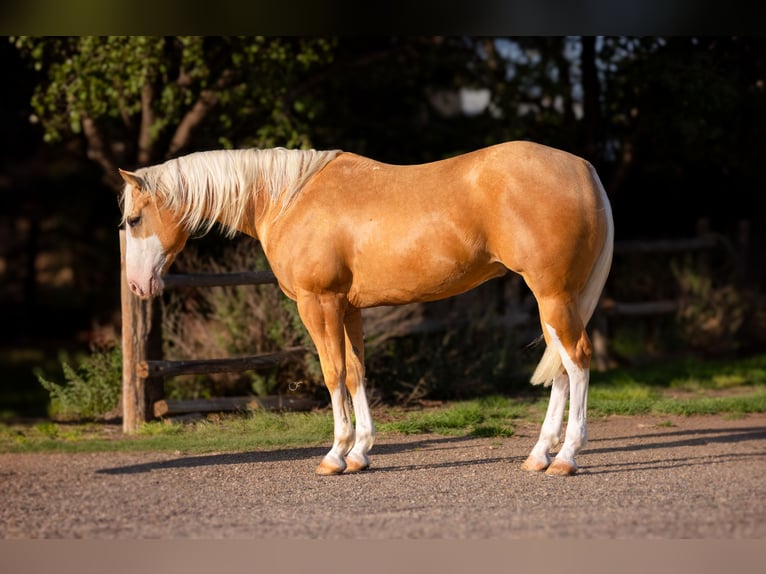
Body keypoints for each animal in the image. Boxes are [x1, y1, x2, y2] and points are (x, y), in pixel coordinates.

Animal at [119, 141, 614, 476]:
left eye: (134, 219)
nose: (138, 285)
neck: (287, 199)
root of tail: (584, 169)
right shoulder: (348, 308)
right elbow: (356, 372)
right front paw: (359, 453)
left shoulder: (318, 304)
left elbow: (332, 373)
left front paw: (334, 455)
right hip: (554, 300)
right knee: (562, 368)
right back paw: (539, 455)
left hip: (552, 295)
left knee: (577, 361)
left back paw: (566, 457)